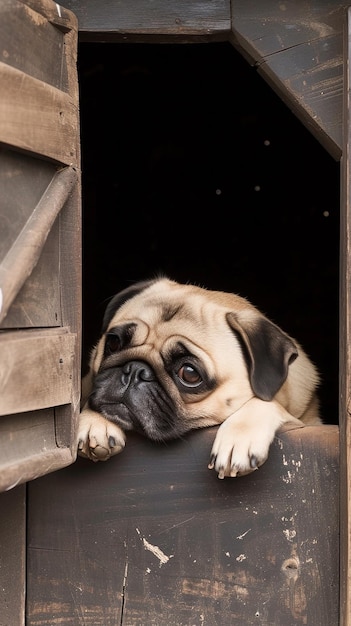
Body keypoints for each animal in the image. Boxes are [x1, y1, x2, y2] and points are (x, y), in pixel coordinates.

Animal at [78, 276, 324, 476]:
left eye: (189, 374)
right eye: (113, 343)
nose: (135, 370)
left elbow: (266, 403)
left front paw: (239, 436)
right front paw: (93, 421)